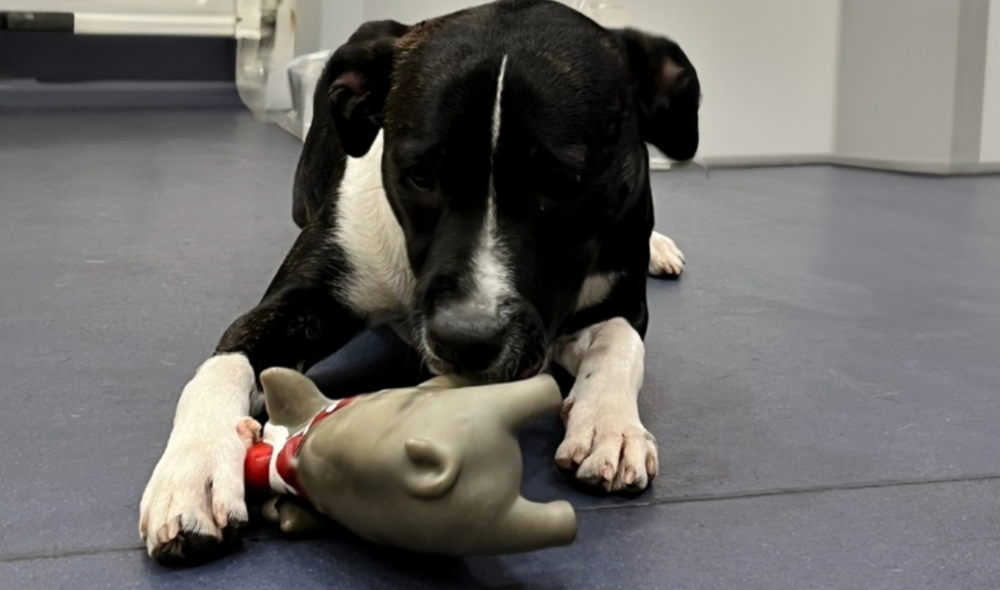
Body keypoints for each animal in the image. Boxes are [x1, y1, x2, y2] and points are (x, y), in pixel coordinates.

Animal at [139, 0, 696, 568]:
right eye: (420, 175)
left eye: (564, 185)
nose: (464, 339)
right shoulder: (299, 302)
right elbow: (226, 361)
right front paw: (196, 466)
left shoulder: (616, 301)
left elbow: (620, 344)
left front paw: (609, 423)